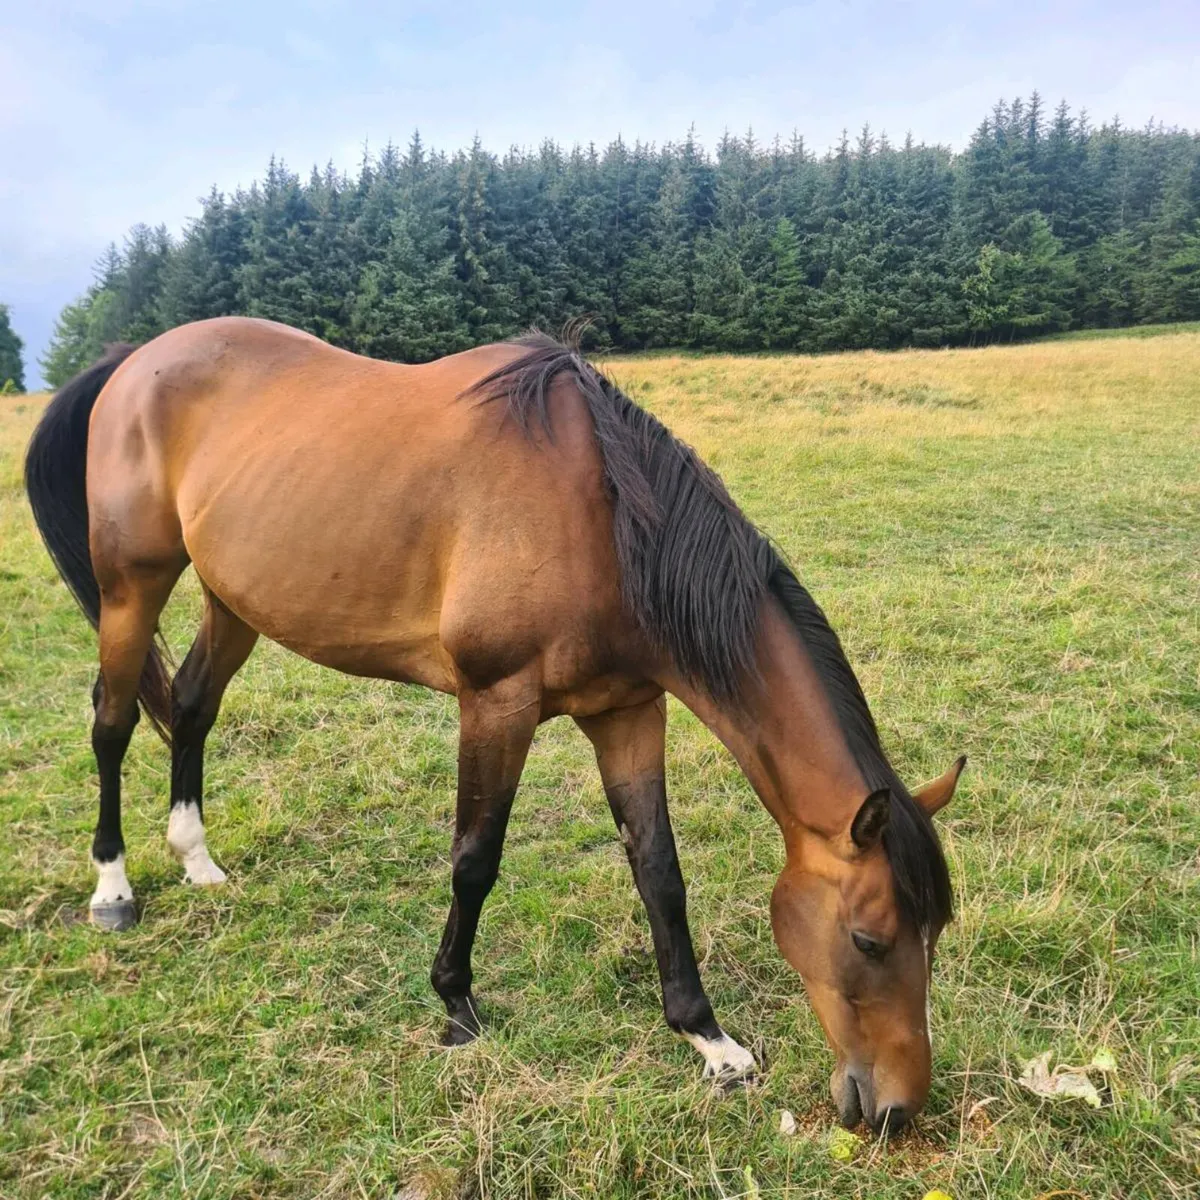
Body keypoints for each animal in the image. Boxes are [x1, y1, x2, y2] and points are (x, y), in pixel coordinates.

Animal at [25, 317, 963, 1135]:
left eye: (935, 931)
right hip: (131, 587)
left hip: (233, 599)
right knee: (111, 723)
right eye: (870, 939)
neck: (604, 521)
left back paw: (197, 859)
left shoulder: (627, 711)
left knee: (190, 706)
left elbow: (659, 871)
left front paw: (710, 1041)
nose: (898, 1110)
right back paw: (114, 890)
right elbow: (475, 859)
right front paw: (456, 1005)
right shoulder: (496, 703)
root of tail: (135, 359)